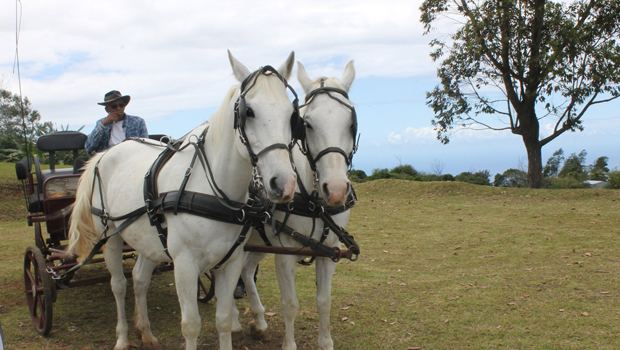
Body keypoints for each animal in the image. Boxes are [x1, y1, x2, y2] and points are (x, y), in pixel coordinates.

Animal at [67, 51, 300, 350]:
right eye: (248, 112)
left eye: (291, 115)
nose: (283, 184)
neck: (217, 193)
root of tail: (105, 154)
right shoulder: (185, 265)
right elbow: (191, 325)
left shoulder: (231, 262)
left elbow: (224, 319)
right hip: (110, 236)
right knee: (118, 285)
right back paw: (122, 337)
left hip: (148, 238)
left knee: (140, 279)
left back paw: (146, 332)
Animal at [232, 60, 358, 350]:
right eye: (307, 124)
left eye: (351, 123)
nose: (336, 189)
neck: (314, 203)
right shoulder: (284, 253)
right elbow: (290, 304)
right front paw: (289, 344)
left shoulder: (330, 251)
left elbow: (324, 302)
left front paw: (325, 342)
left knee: (245, 269)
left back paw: (259, 321)